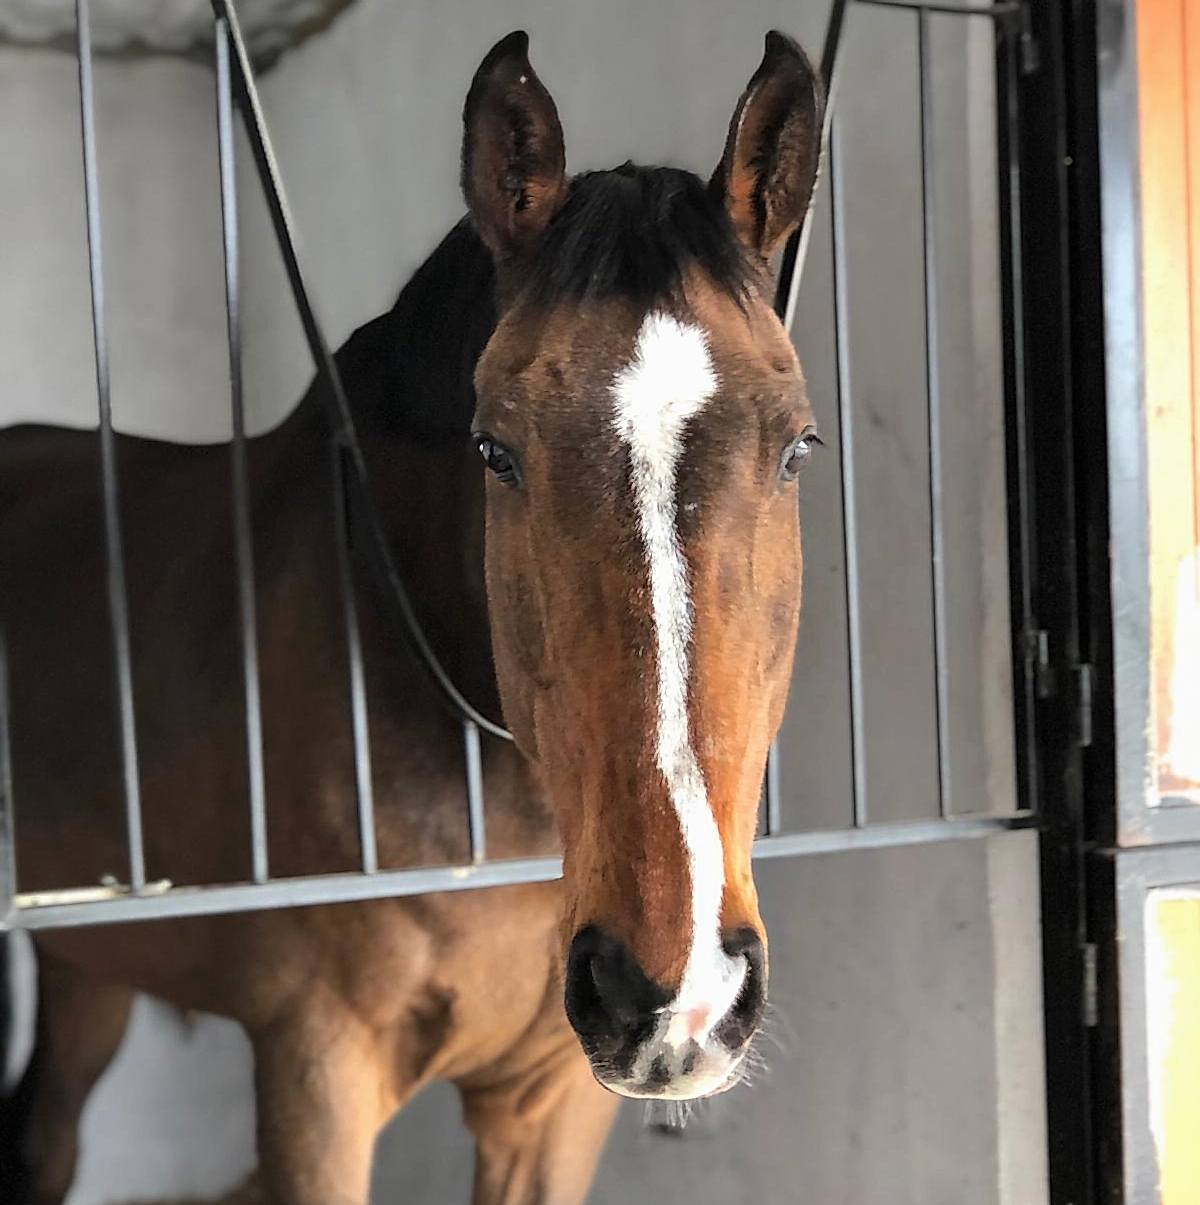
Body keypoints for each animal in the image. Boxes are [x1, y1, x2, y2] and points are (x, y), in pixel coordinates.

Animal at [0, 28, 823, 1205]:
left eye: (797, 445)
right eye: (495, 449)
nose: (675, 990)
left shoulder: (552, 1101)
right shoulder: (316, 1072)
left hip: (88, 962)